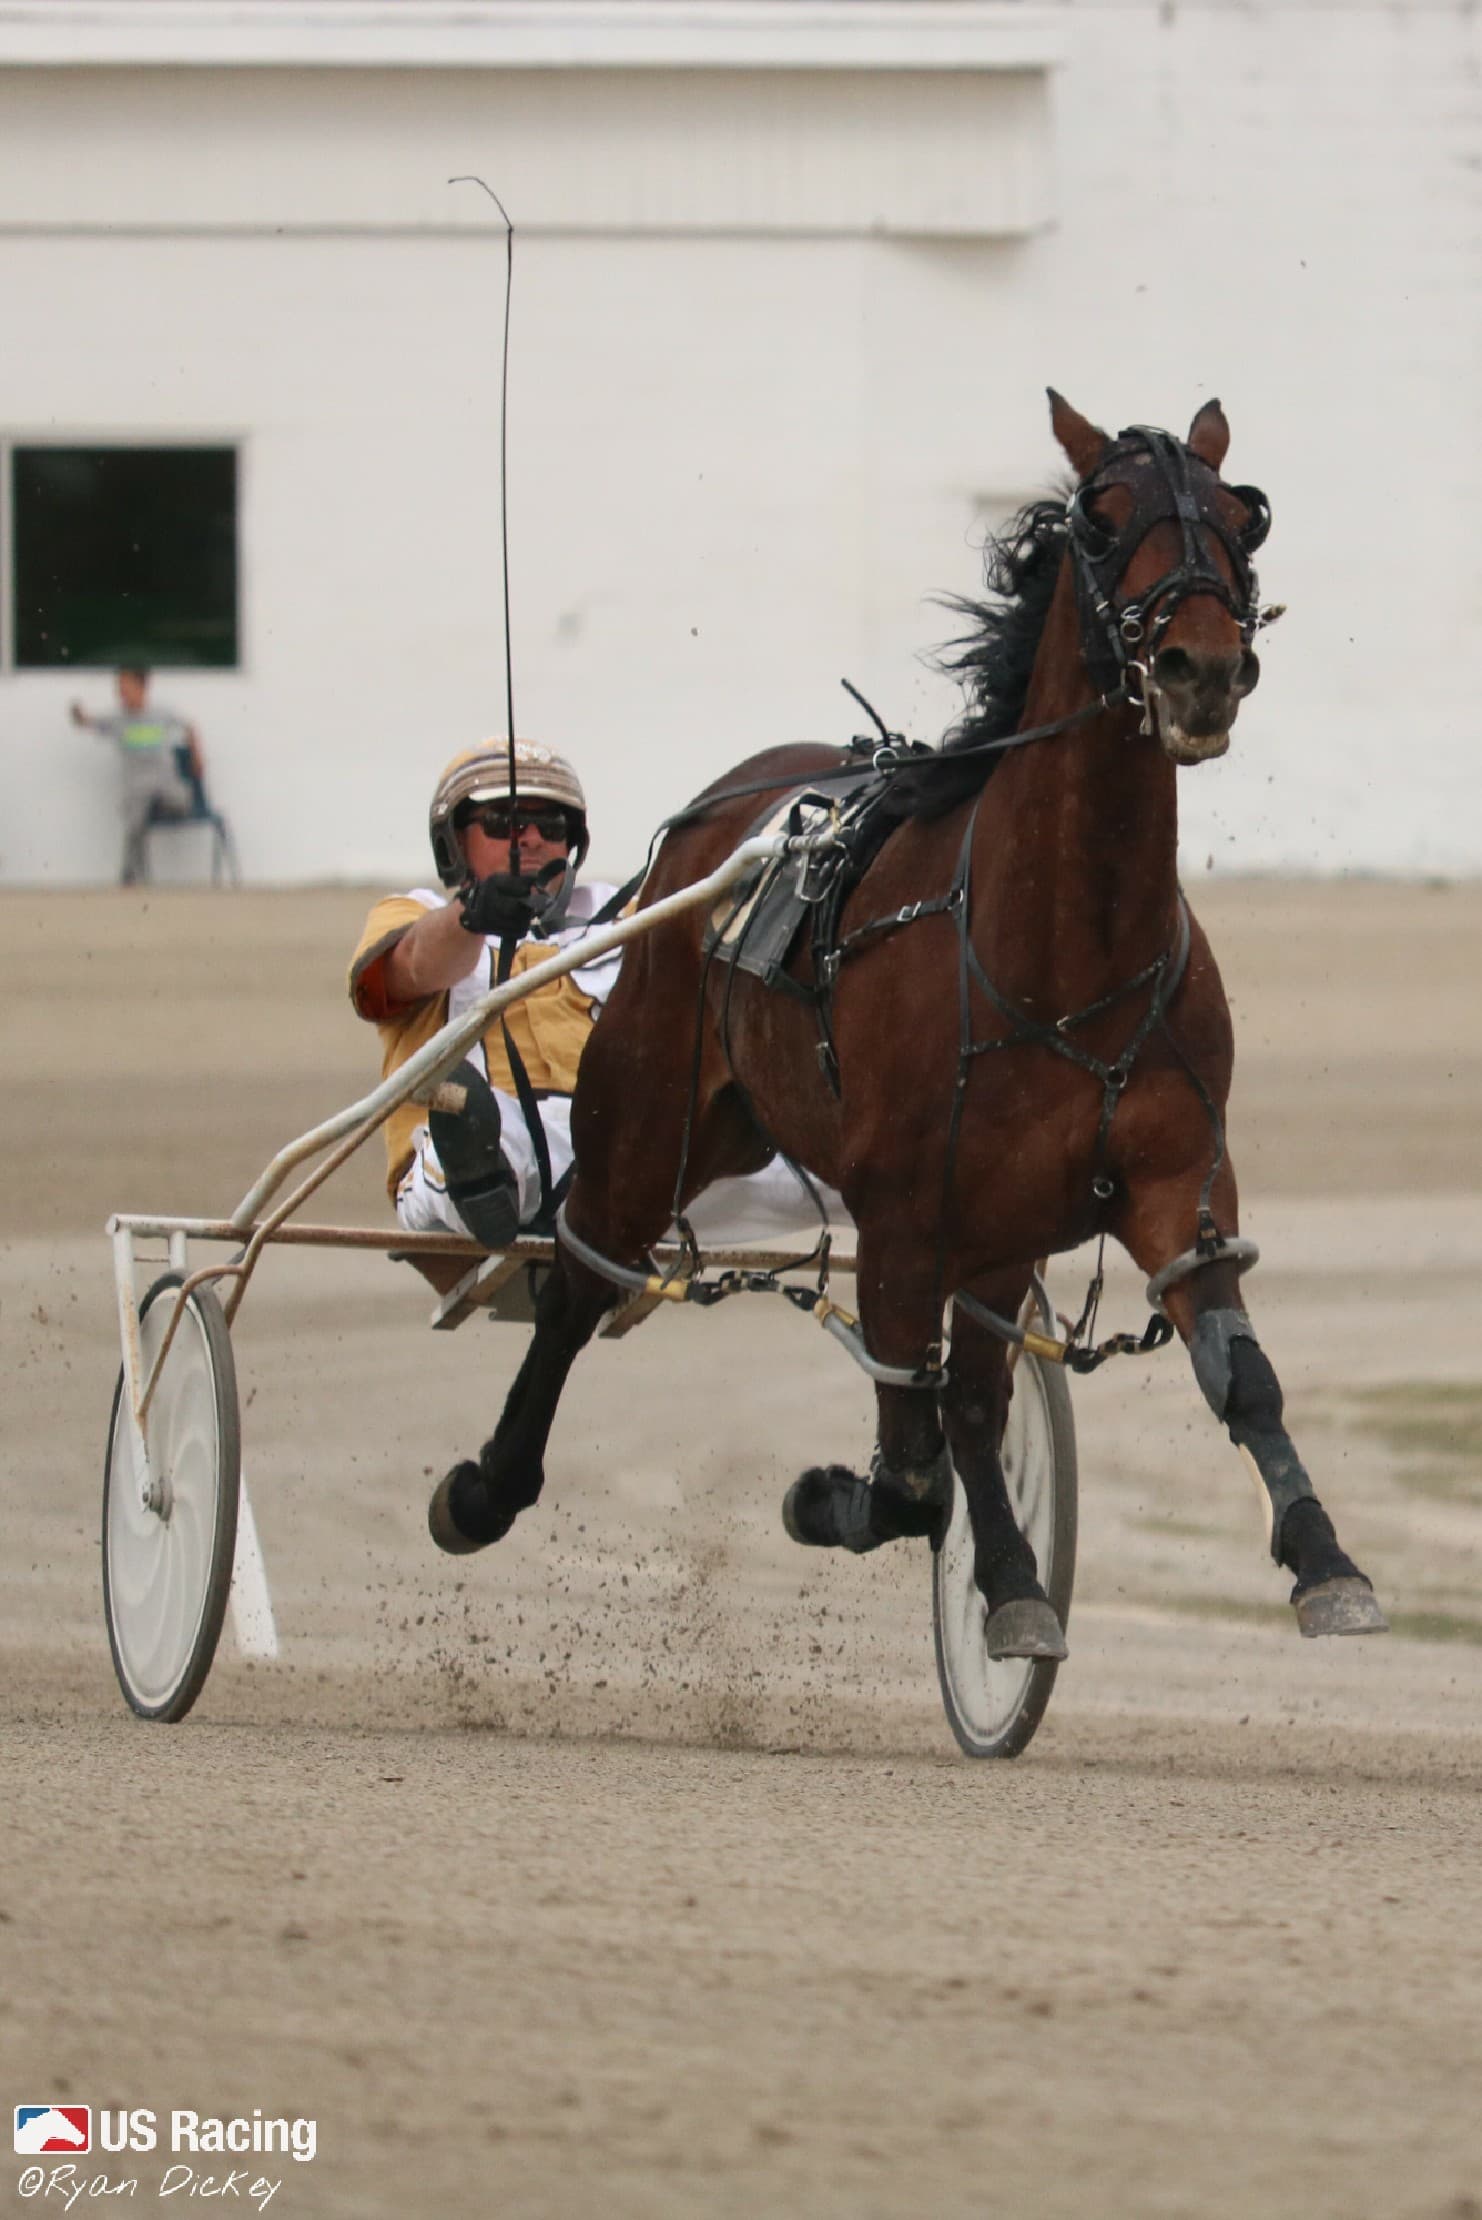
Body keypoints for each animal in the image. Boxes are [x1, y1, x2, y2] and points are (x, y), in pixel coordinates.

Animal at [428, 390, 1393, 1660]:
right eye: (1100, 517)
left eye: (1245, 516)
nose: (1203, 667)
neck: (1060, 952)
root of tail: (727, 805)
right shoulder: (902, 1211)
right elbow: (916, 1457)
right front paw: (850, 1506)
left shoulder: (1168, 1178)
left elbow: (1235, 1377)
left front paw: (1325, 1561)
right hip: (649, 1122)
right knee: (584, 1276)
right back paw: (485, 1488)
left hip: (959, 1215)